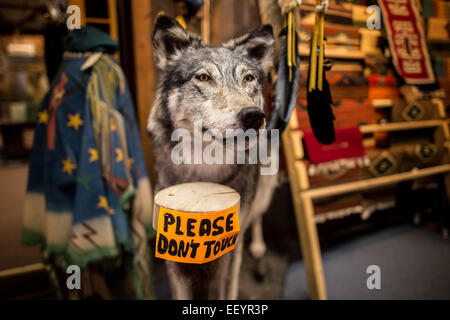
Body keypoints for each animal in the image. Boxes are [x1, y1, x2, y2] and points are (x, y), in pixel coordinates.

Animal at [148, 15, 280, 300]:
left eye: (249, 78)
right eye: (204, 77)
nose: (254, 116)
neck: (203, 172)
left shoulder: (232, 248)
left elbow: (227, 290)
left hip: (265, 186)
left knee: (257, 215)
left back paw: (258, 246)